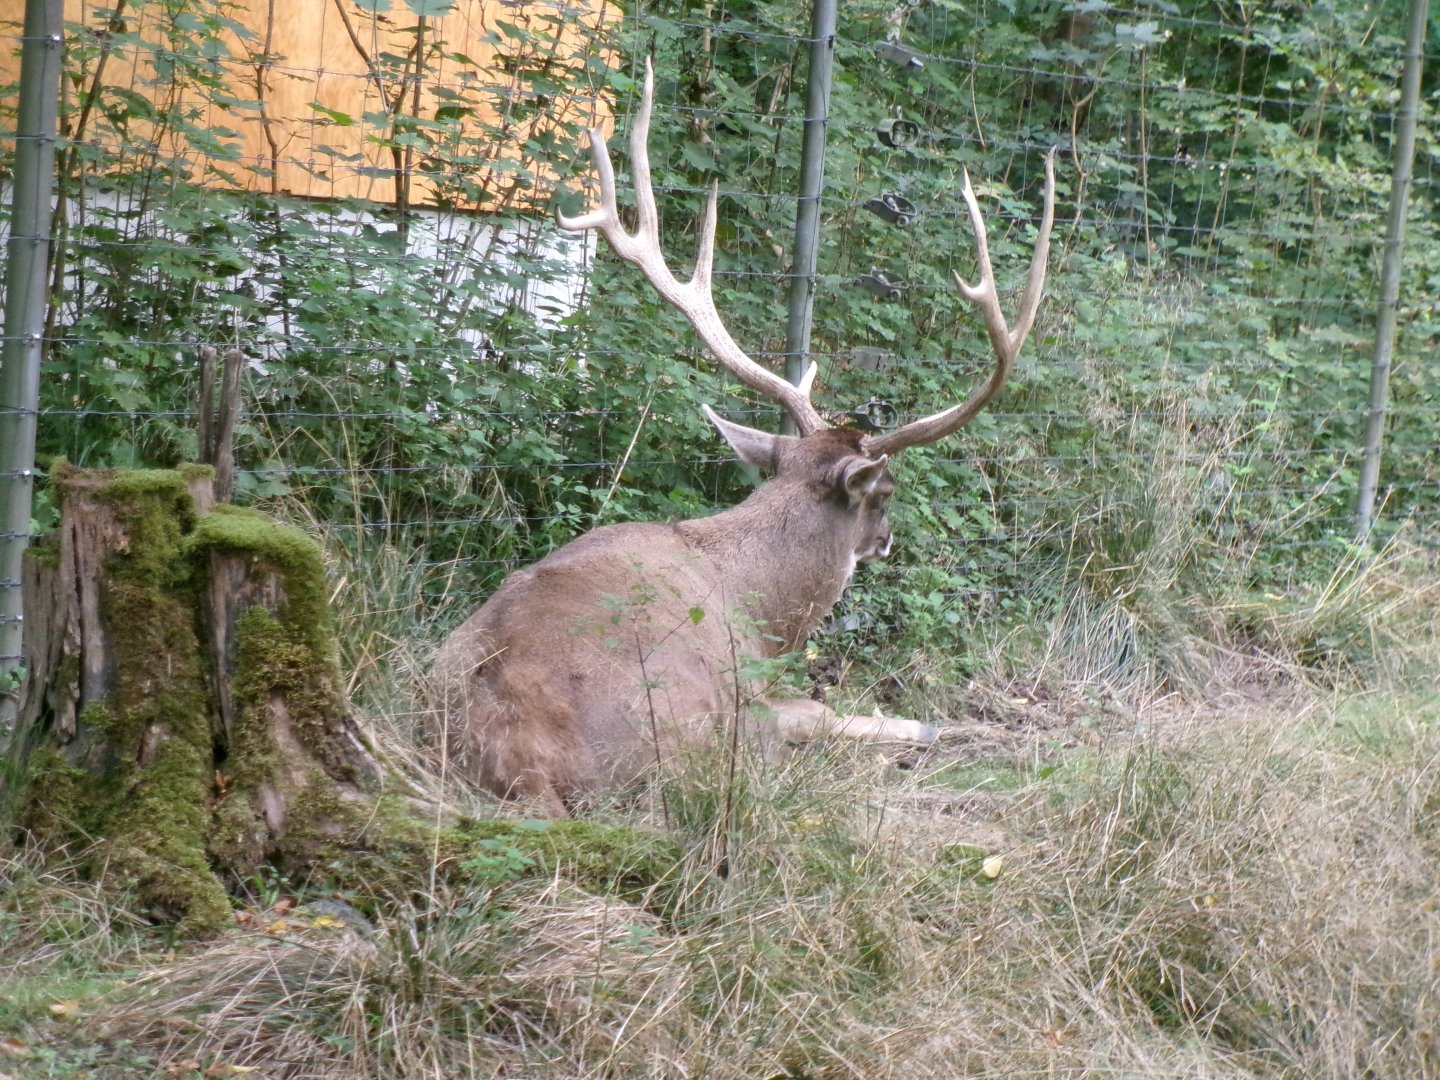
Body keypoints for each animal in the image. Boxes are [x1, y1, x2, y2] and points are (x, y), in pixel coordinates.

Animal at [431, 59, 1057, 816]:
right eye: (885, 492)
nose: (887, 539)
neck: (763, 608)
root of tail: (524, 769)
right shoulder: (750, 693)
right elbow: (822, 710)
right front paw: (938, 726)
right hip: (692, 731)